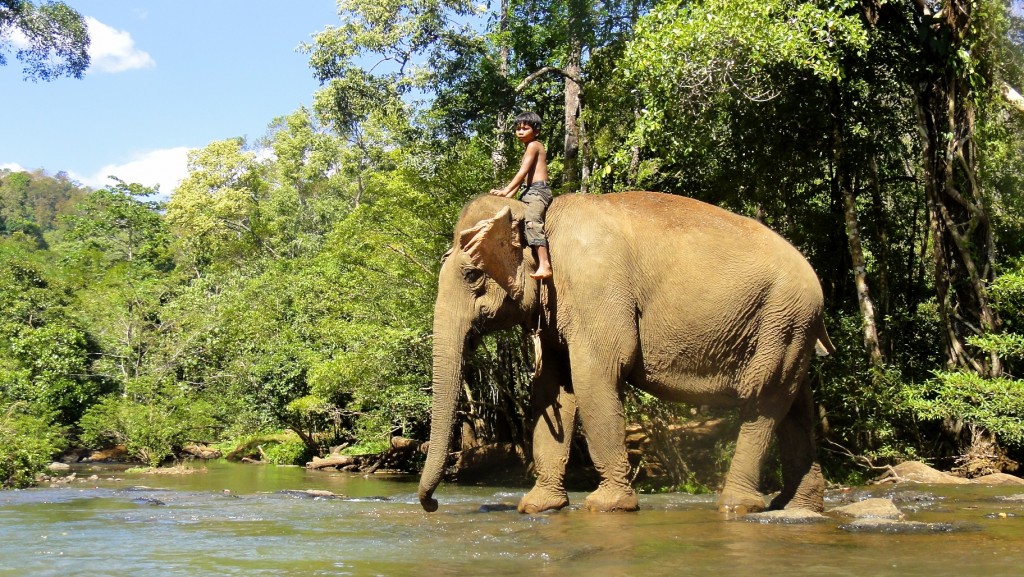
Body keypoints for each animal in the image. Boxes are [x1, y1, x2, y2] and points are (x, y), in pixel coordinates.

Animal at [415, 191, 831, 516]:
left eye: (472, 276)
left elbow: (595, 375)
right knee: (796, 404)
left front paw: (608, 506)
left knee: (762, 400)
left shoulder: (594, 288)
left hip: (782, 317)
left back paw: (738, 506)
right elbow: (553, 389)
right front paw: (537, 507)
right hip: (789, 326)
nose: (432, 504)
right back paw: (797, 507)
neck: (538, 218)